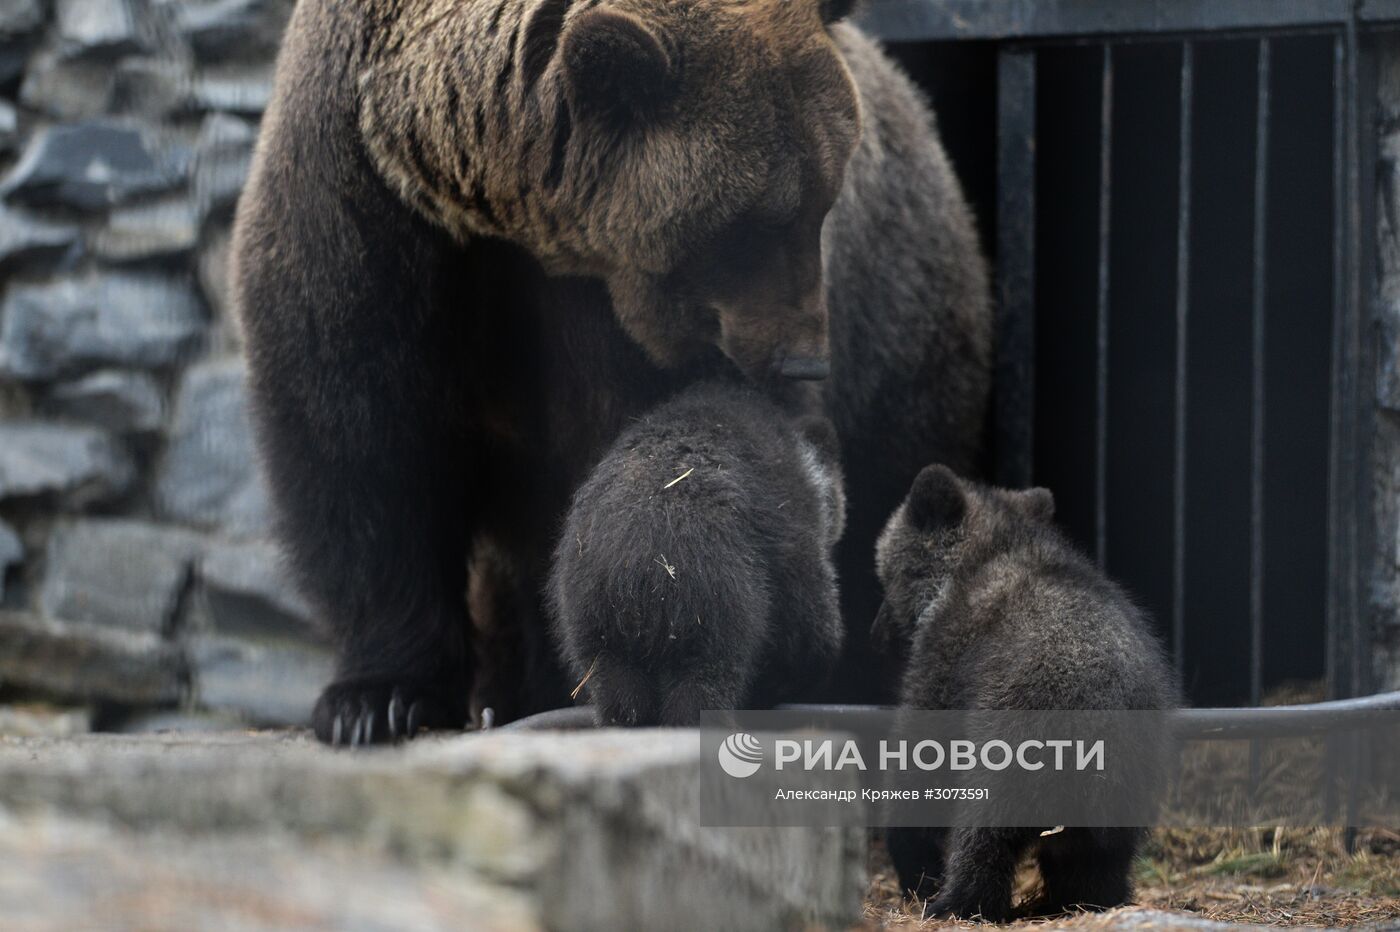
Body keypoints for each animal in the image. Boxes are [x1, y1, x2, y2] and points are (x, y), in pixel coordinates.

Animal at [232, 0, 996, 744]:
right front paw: (377, 699)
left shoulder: (622, 324)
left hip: (906, 342)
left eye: (825, 199)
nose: (805, 359)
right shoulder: (365, 212)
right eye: (758, 219)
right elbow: (361, 448)